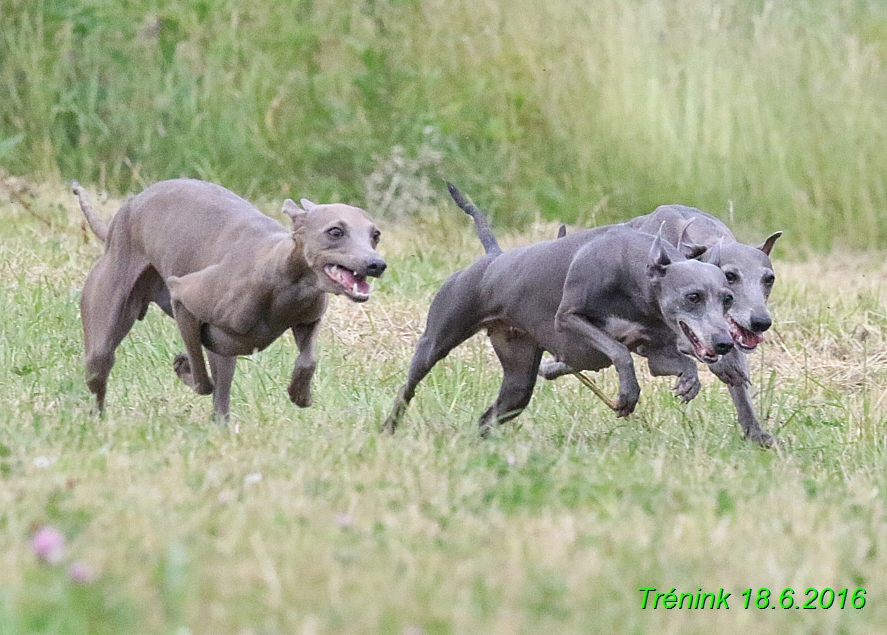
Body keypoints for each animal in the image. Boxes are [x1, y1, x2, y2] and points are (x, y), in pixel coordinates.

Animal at [73, 179, 386, 418]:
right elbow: (201, 379)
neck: (286, 281)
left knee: (221, 394)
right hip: (104, 329)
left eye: (376, 235)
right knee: (100, 367)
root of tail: (123, 214)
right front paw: (184, 368)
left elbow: (308, 359)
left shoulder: (310, 317)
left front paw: (300, 394)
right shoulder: (183, 297)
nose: (377, 264)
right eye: (335, 231)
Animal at [386, 186, 740, 434]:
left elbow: (674, 363)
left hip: (517, 382)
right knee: (408, 388)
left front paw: (689, 381)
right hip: (433, 344)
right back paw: (388, 428)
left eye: (726, 298)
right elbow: (619, 353)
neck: (631, 267)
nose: (725, 343)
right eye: (693, 297)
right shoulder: (569, 319)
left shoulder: (653, 350)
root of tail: (493, 256)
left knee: (489, 416)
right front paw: (628, 393)